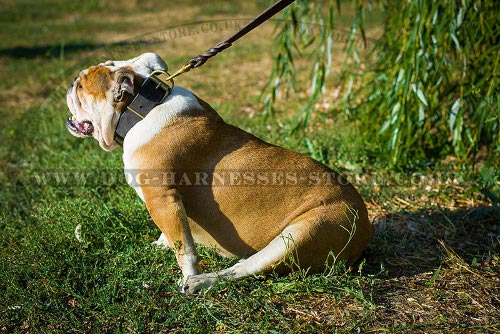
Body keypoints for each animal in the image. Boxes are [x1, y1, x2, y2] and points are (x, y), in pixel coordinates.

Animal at [65, 51, 372, 292]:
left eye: (80, 86)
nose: (69, 84)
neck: (143, 108)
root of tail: (364, 226)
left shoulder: (161, 197)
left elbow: (185, 248)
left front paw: (188, 273)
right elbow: (172, 234)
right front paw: (159, 244)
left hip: (301, 234)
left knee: (246, 269)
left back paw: (201, 282)